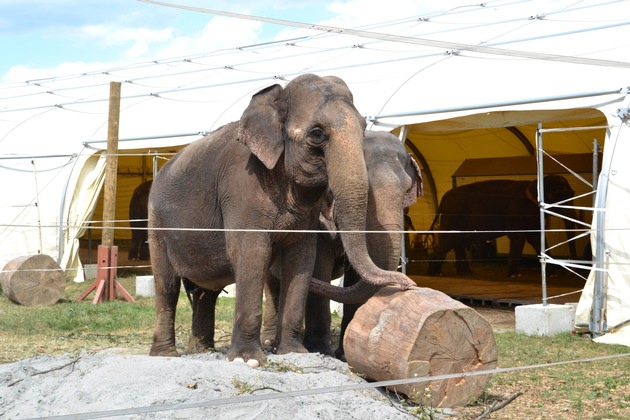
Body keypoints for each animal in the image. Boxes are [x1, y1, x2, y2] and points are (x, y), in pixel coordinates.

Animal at [262, 130, 424, 358]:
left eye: (407, 190)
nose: (408, 284)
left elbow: (355, 276)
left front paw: (344, 353)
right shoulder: (316, 221)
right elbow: (319, 267)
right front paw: (320, 349)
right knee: (272, 284)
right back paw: (269, 342)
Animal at [428, 175, 580, 278]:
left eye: (572, 194)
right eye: (556, 196)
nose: (572, 273)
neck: (534, 182)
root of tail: (447, 194)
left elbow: (536, 238)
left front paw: (552, 275)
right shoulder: (517, 213)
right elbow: (518, 238)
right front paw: (515, 275)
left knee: (459, 241)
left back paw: (466, 272)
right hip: (453, 218)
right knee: (449, 241)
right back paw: (436, 273)